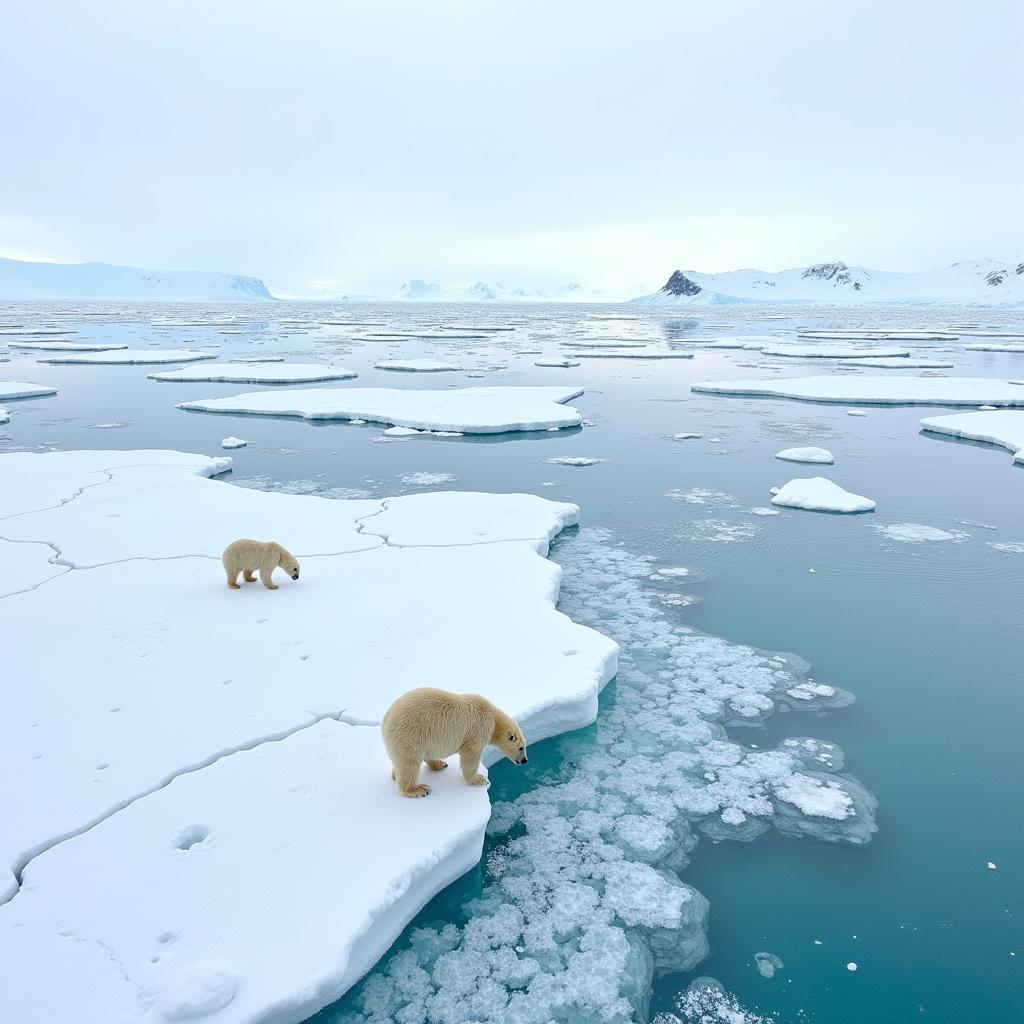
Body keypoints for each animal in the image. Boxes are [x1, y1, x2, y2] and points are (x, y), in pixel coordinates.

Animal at [382, 688, 528, 798]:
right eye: (521, 748)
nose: (525, 761)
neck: (493, 719)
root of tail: (385, 721)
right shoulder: (477, 729)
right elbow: (471, 755)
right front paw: (479, 779)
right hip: (409, 735)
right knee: (409, 763)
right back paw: (418, 789)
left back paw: (439, 764)